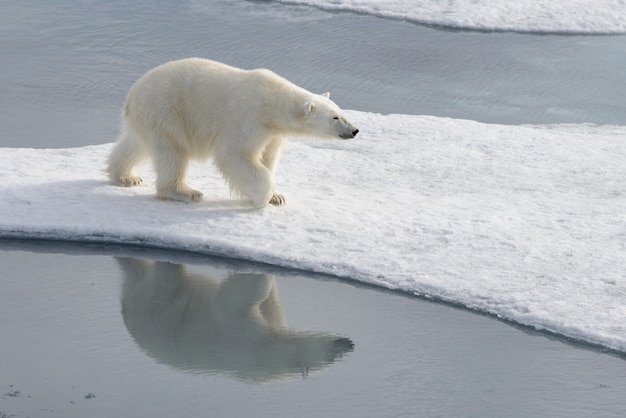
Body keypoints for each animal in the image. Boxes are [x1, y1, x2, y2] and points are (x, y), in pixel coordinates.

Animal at [105, 58, 358, 208]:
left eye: (341, 112)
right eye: (335, 118)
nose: (354, 130)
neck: (273, 102)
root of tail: (132, 95)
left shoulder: (274, 133)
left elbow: (269, 157)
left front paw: (277, 196)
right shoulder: (248, 118)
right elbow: (235, 154)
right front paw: (263, 197)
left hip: (149, 117)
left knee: (135, 144)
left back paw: (126, 177)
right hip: (167, 111)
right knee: (172, 153)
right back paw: (186, 192)